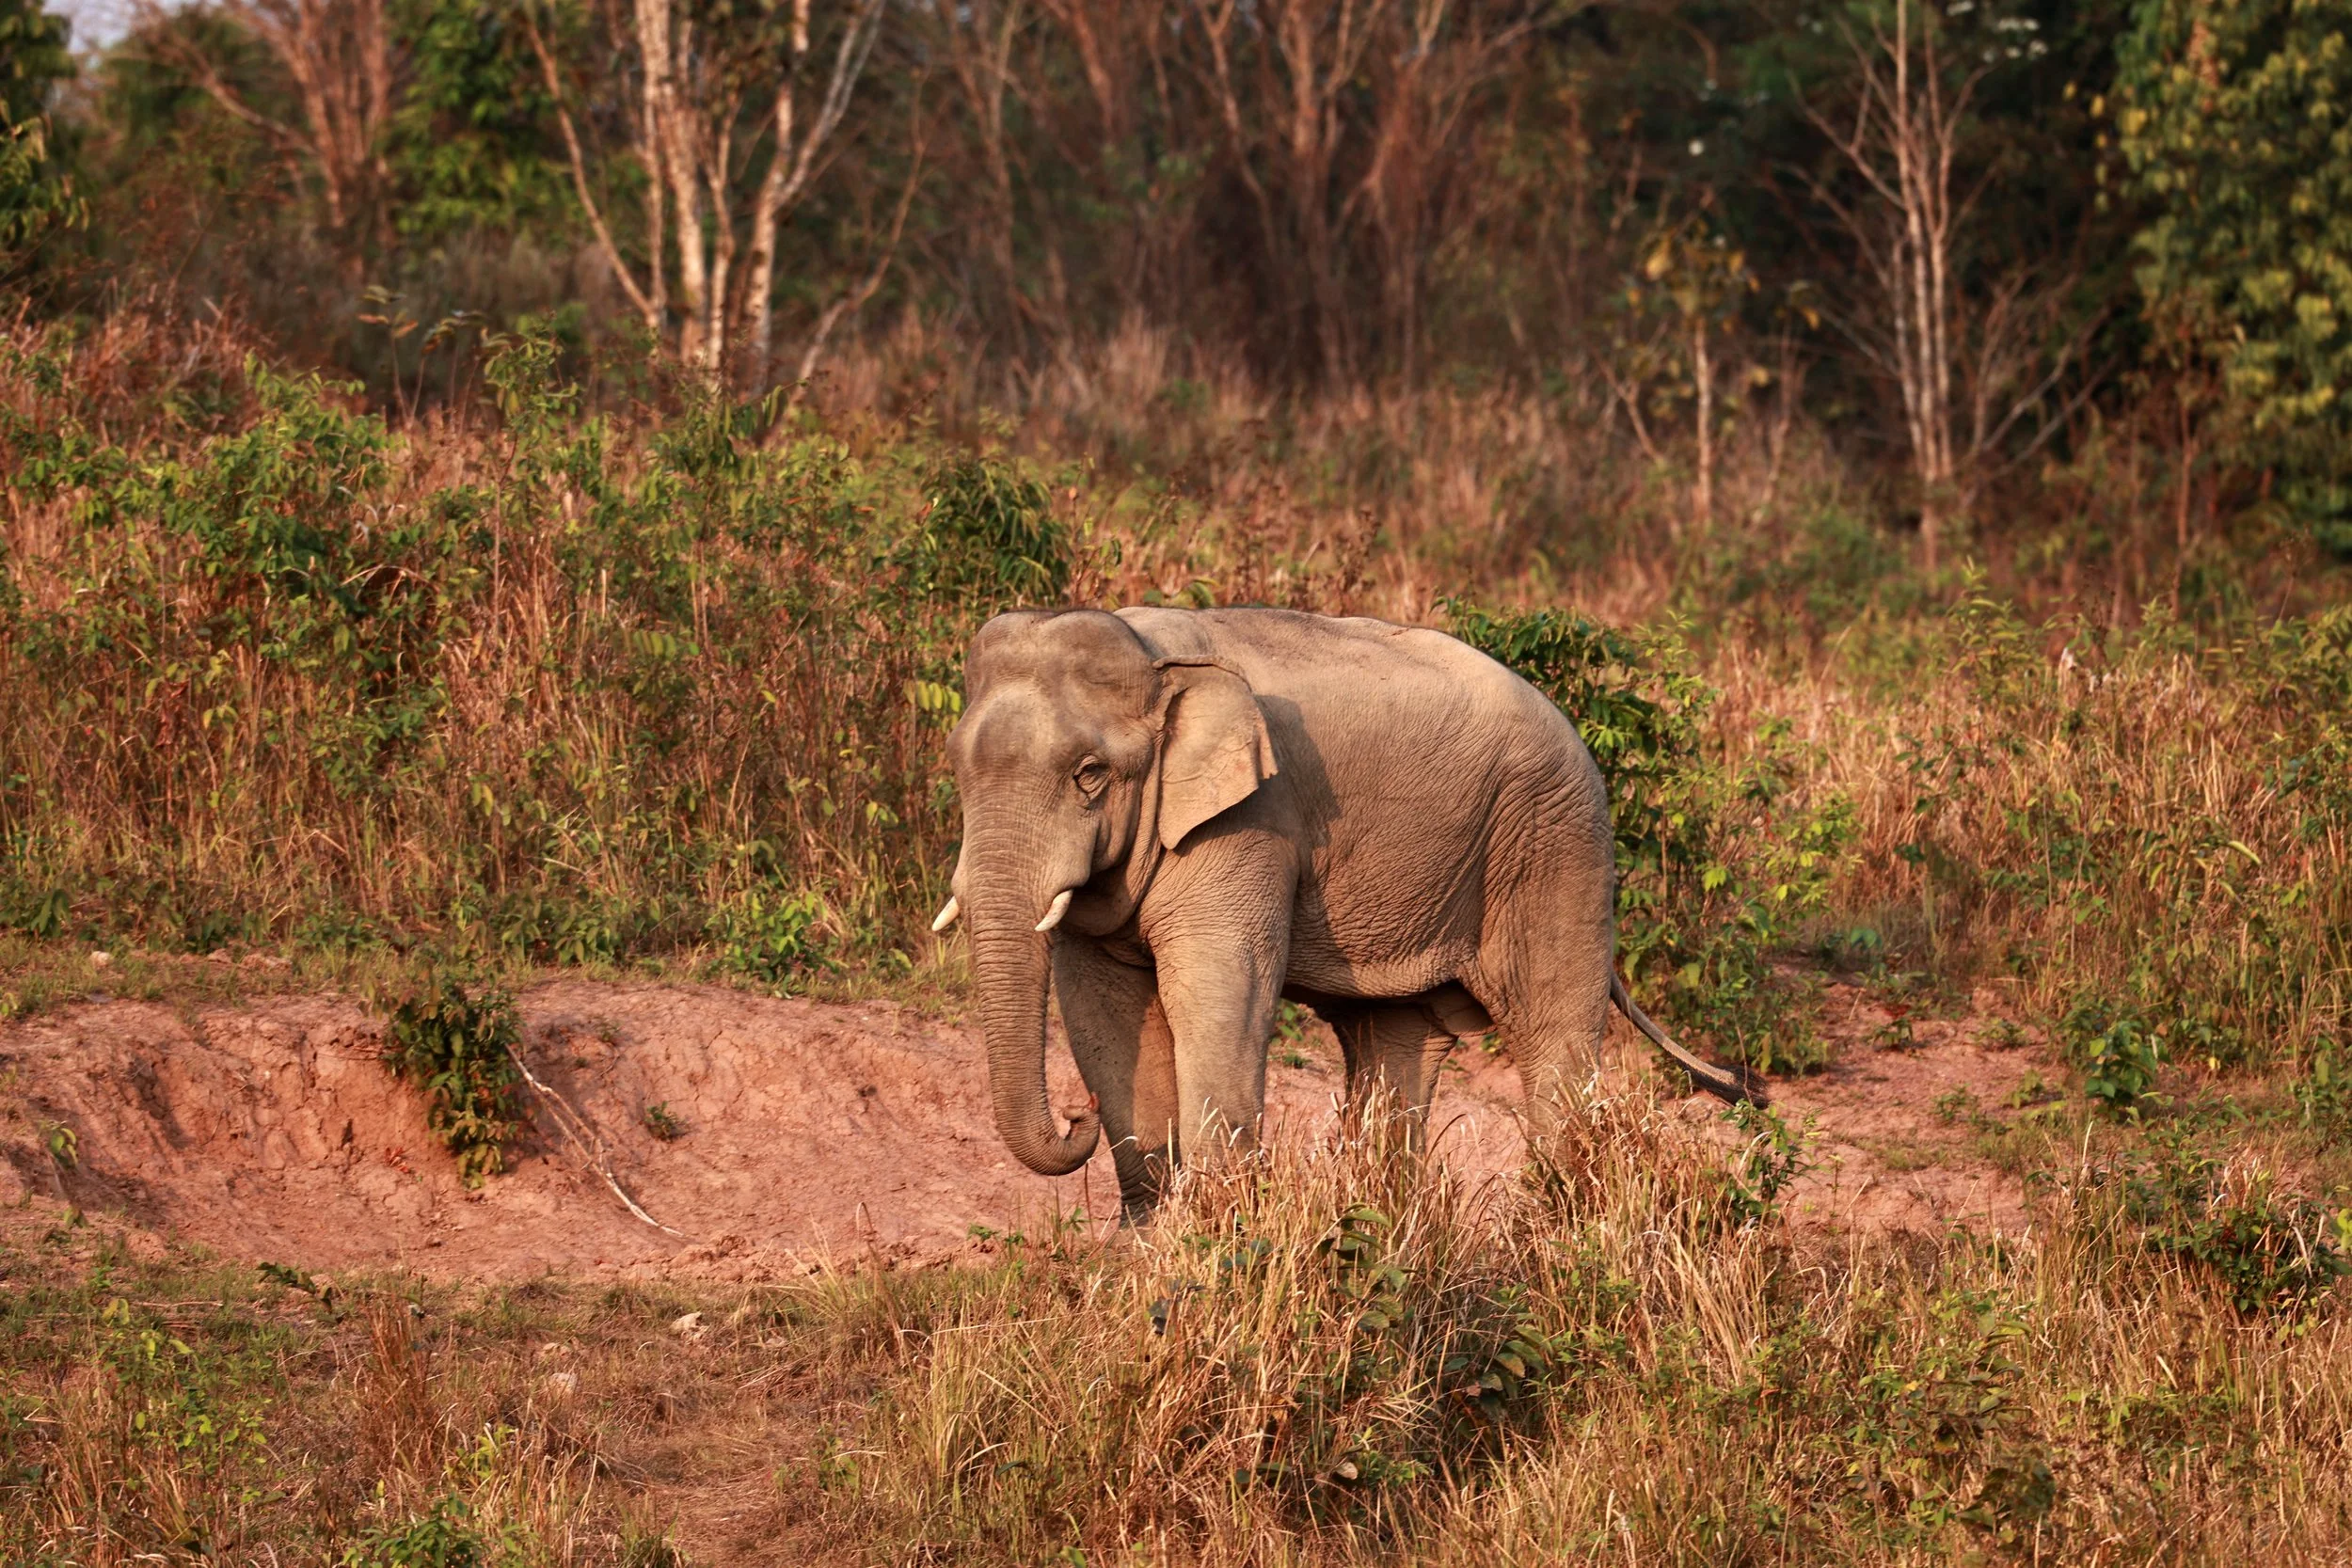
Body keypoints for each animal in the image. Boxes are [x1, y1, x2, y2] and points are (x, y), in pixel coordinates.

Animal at [932, 605, 1757, 1216]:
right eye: (958, 765)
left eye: (1090, 774)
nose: (1077, 1116)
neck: (1154, 656)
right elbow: (1098, 1001)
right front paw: (1152, 1238)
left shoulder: (1253, 820)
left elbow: (1219, 986)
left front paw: (1216, 1234)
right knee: (1395, 1042)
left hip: (1556, 844)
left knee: (1552, 1032)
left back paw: (1563, 1229)